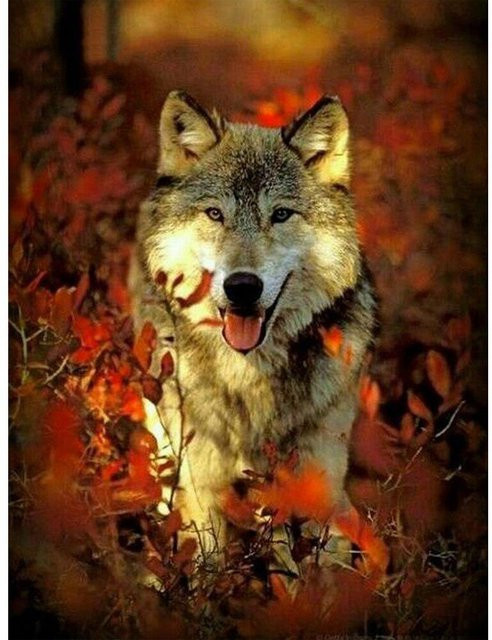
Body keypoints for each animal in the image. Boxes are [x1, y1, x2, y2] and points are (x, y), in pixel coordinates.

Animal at [130, 90, 376, 548]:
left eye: (280, 215)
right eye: (215, 214)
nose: (242, 286)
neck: (249, 375)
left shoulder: (321, 480)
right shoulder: (201, 484)